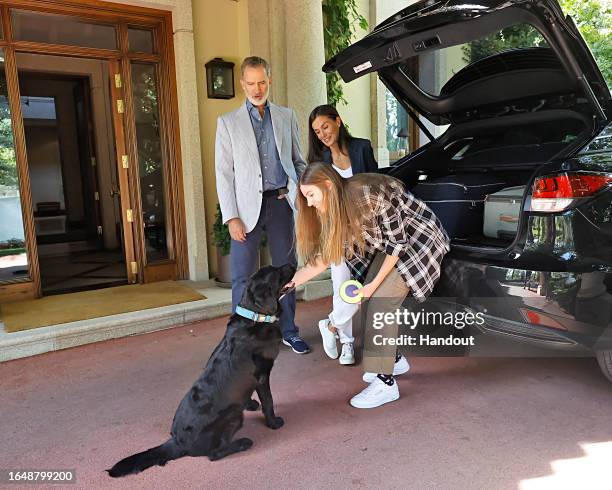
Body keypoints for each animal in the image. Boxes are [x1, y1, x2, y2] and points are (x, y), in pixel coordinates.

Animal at [107, 264, 296, 474]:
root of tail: (177, 441)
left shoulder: (252, 379)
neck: (256, 317)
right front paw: (273, 423)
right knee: (214, 454)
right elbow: (269, 401)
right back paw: (243, 443)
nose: (292, 263)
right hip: (233, 416)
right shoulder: (262, 376)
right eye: (277, 272)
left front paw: (250, 404)